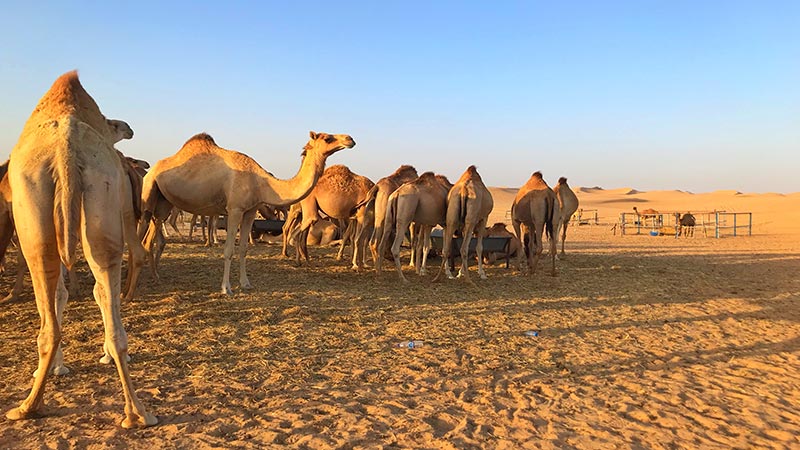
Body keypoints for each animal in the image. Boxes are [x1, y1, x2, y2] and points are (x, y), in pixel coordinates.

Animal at [5, 71, 155, 427]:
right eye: (113, 123)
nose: (129, 127)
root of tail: (66, 147)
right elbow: (79, 295)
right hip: (93, 205)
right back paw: (135, 412)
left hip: (47, 222)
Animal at [141, 131, 355, 294]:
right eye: (327, 138)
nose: (350, 139)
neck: (261, 183)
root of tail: (153, 169)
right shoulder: (234, 209)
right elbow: (229, 250)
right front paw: (226, 288)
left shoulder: (251, 210)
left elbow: (244, 248)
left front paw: (245, 284)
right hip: (148, 192)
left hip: (164, 203)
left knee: (151, 237)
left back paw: (156, 276)